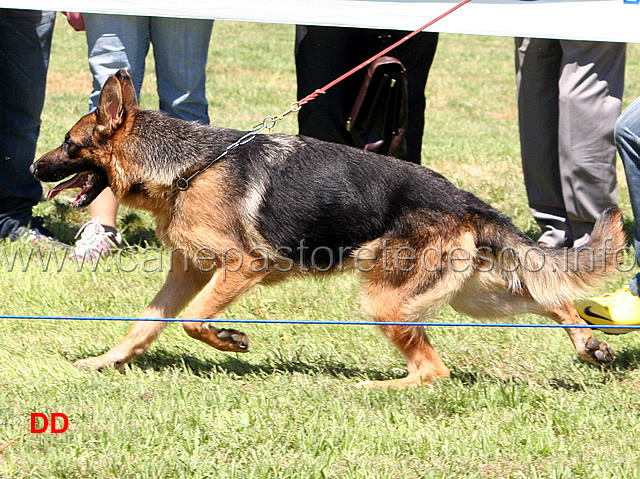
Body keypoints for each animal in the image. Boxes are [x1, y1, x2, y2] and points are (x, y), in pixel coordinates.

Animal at [31, 69, 624, 388]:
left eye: (68, 144)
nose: (36, 168)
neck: (187, 167)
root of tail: (464, 200)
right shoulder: (187, 274)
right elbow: (145, 324)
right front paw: (105, 361)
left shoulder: (241, 267)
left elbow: (194, 321)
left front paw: (227, 339)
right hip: (469, 298)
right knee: (549, 298)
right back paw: (588, 343)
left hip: (388, 303)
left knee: (434, 371)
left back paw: (373, 386)